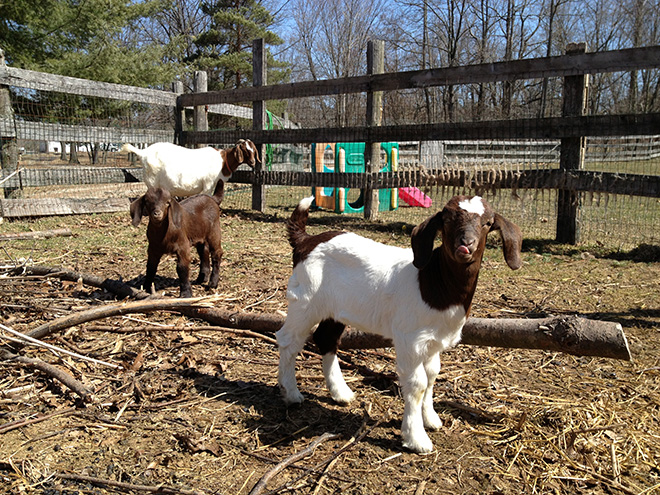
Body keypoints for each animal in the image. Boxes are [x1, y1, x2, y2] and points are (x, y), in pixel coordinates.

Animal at [121, 140, 260, 201]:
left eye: (253, 150)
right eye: (245, 150)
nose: (253, 162)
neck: (223, 160)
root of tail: (143, 152)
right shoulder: (208, 184)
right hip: (152, 181)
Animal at [276, 195, 522, 453]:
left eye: (487, 223)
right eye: (446, 219)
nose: (466, 244)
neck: (433, 280)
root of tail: (306, 240)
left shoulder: (434, 340)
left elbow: (432, 374)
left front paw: (431, 418)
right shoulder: (410, 339)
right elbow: (417, 384)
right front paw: (416, 438)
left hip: (334, 309)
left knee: (326, 339)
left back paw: (341, 392)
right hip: (305, 300)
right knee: (289, 340)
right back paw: (291, 393)